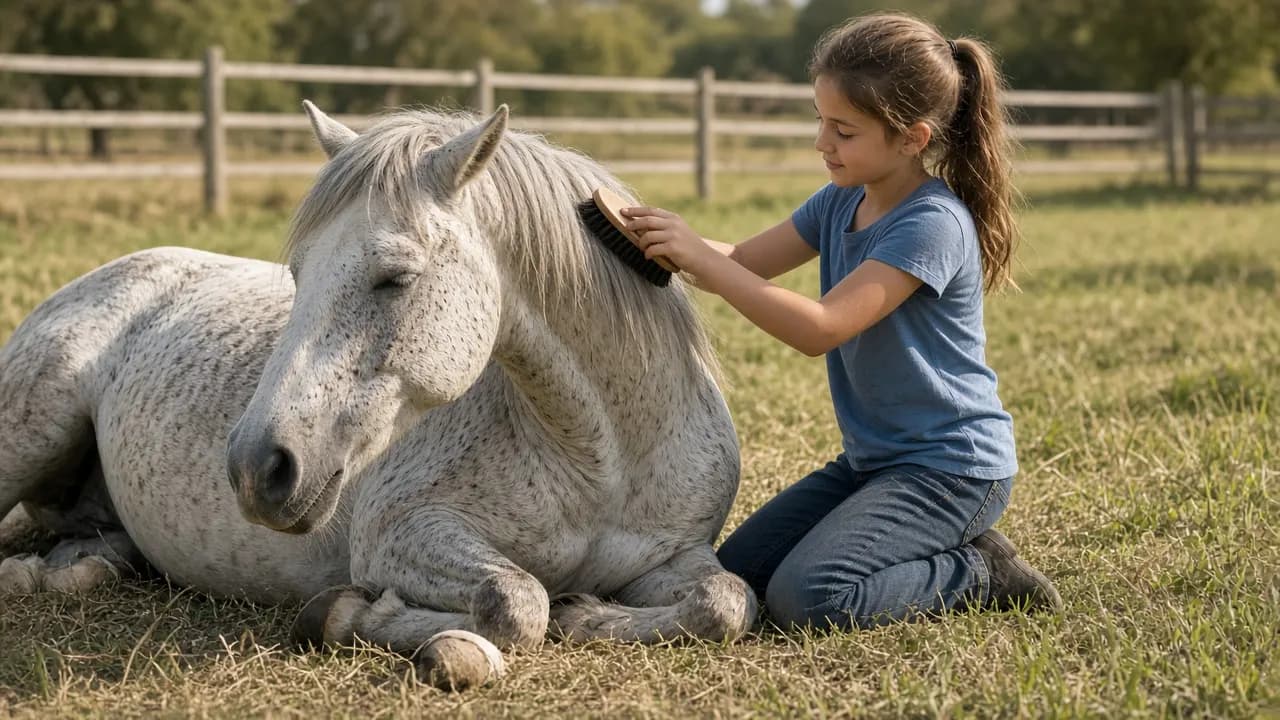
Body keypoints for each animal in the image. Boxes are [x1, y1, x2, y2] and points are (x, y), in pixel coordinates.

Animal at [0, 102, 757, 689]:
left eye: (394, 277)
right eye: (297, 273)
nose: (256, 468)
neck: (599, 459)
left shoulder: (673, 557)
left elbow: (727, 602)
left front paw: (591, 613)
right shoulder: (398, 537)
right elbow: (517, 600)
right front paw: (360, 617)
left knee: (90, 552)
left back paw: (54, 575)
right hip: (29, 434)